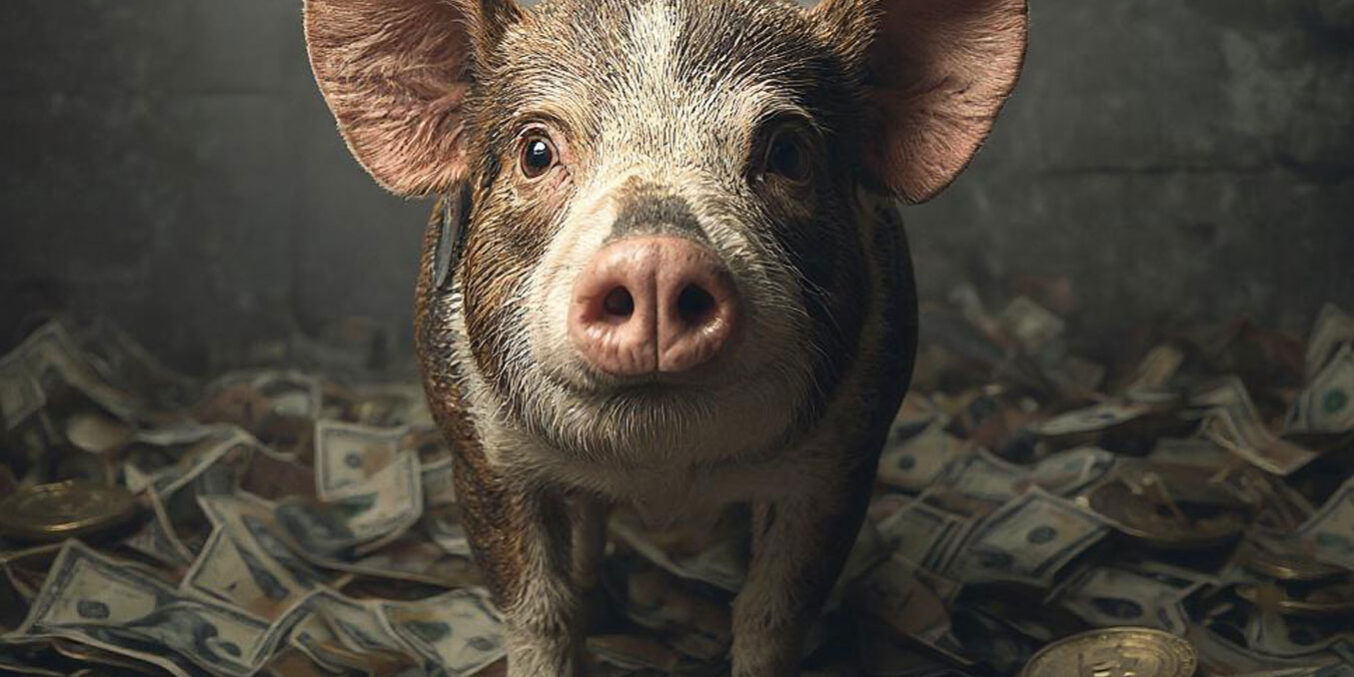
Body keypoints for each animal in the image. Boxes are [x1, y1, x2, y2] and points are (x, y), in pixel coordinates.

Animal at [304, 0, 1027, 673]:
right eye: (535, 152)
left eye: (789, 153)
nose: (655, 259)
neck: (659, 471)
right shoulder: (477, 455)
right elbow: (538, 610)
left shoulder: (845, 460)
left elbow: (772, 614)